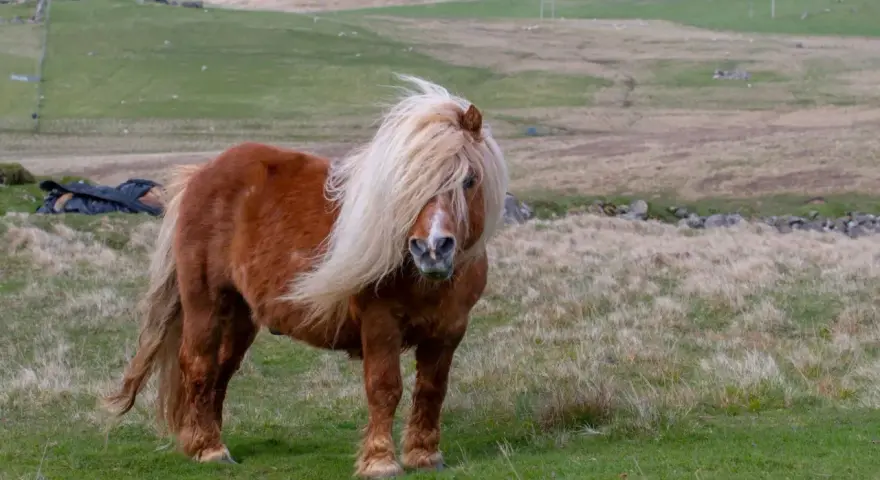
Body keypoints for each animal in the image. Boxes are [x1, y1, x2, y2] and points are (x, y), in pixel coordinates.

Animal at [101, 74, 510, 478]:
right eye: (407, 185)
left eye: (469, 179)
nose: (431, 248)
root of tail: (201, 174)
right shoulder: (381, 325)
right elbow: (385, 388)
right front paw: (380, 461)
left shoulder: (449, 332)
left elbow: (431, 390)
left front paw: (425, 456)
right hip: (206, 304)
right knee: (199, 365)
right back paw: (209, 448)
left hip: (241, 316)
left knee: (221, 371)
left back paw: (206, 441)